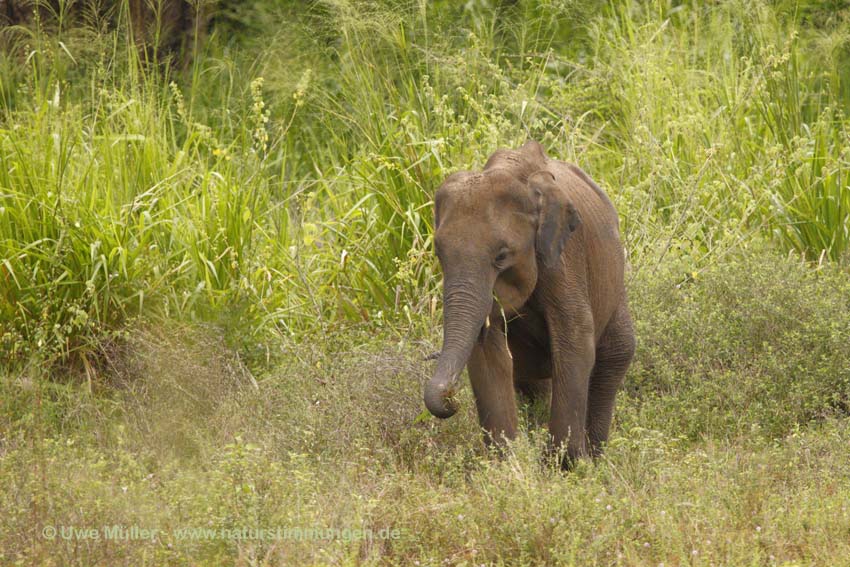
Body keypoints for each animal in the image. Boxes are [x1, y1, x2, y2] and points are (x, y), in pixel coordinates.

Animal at [420, 140, 632, 468]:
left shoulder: (564, 256)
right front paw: (506, 465)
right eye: (439, 254)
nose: (450, 400)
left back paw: (596, 458)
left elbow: (574, 338)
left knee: (615, 356)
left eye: (501, 256)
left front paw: (565, 465)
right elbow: (486, 351)